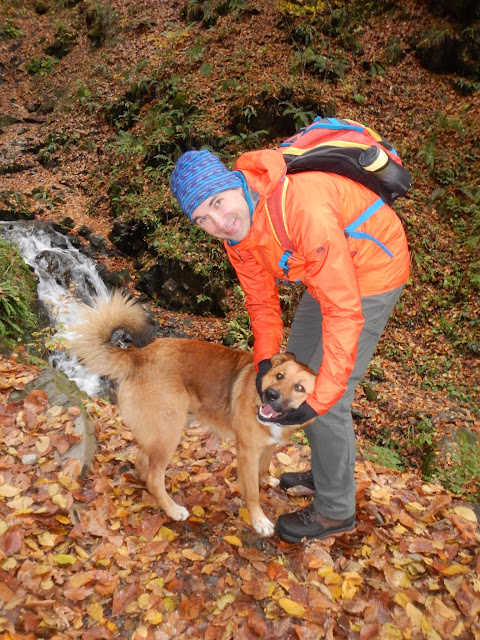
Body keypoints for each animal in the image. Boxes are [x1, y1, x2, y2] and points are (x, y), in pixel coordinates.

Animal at [68, 292, 316, 536]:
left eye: (299, 388)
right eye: (279, 376)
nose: (270, 395)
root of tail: (139, 356)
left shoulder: (267, 446)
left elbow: (264, 467)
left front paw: (266, 480)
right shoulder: (247, 452)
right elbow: (253, 493)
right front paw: (259, 520)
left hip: (160, 430)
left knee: (143, 463)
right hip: (169, 432)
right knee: (154, 476)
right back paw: (172, 509)